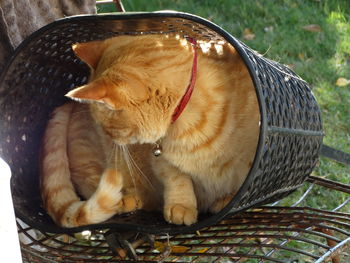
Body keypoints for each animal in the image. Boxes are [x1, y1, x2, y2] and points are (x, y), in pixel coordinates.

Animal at [40, 34, 260, 228]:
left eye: (108, 127)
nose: (110, 137)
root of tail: (69, 106)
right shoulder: (160, 160)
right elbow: (177, 177)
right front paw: (181, 205)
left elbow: (245, 180)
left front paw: (228, 200)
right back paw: (124, 200)